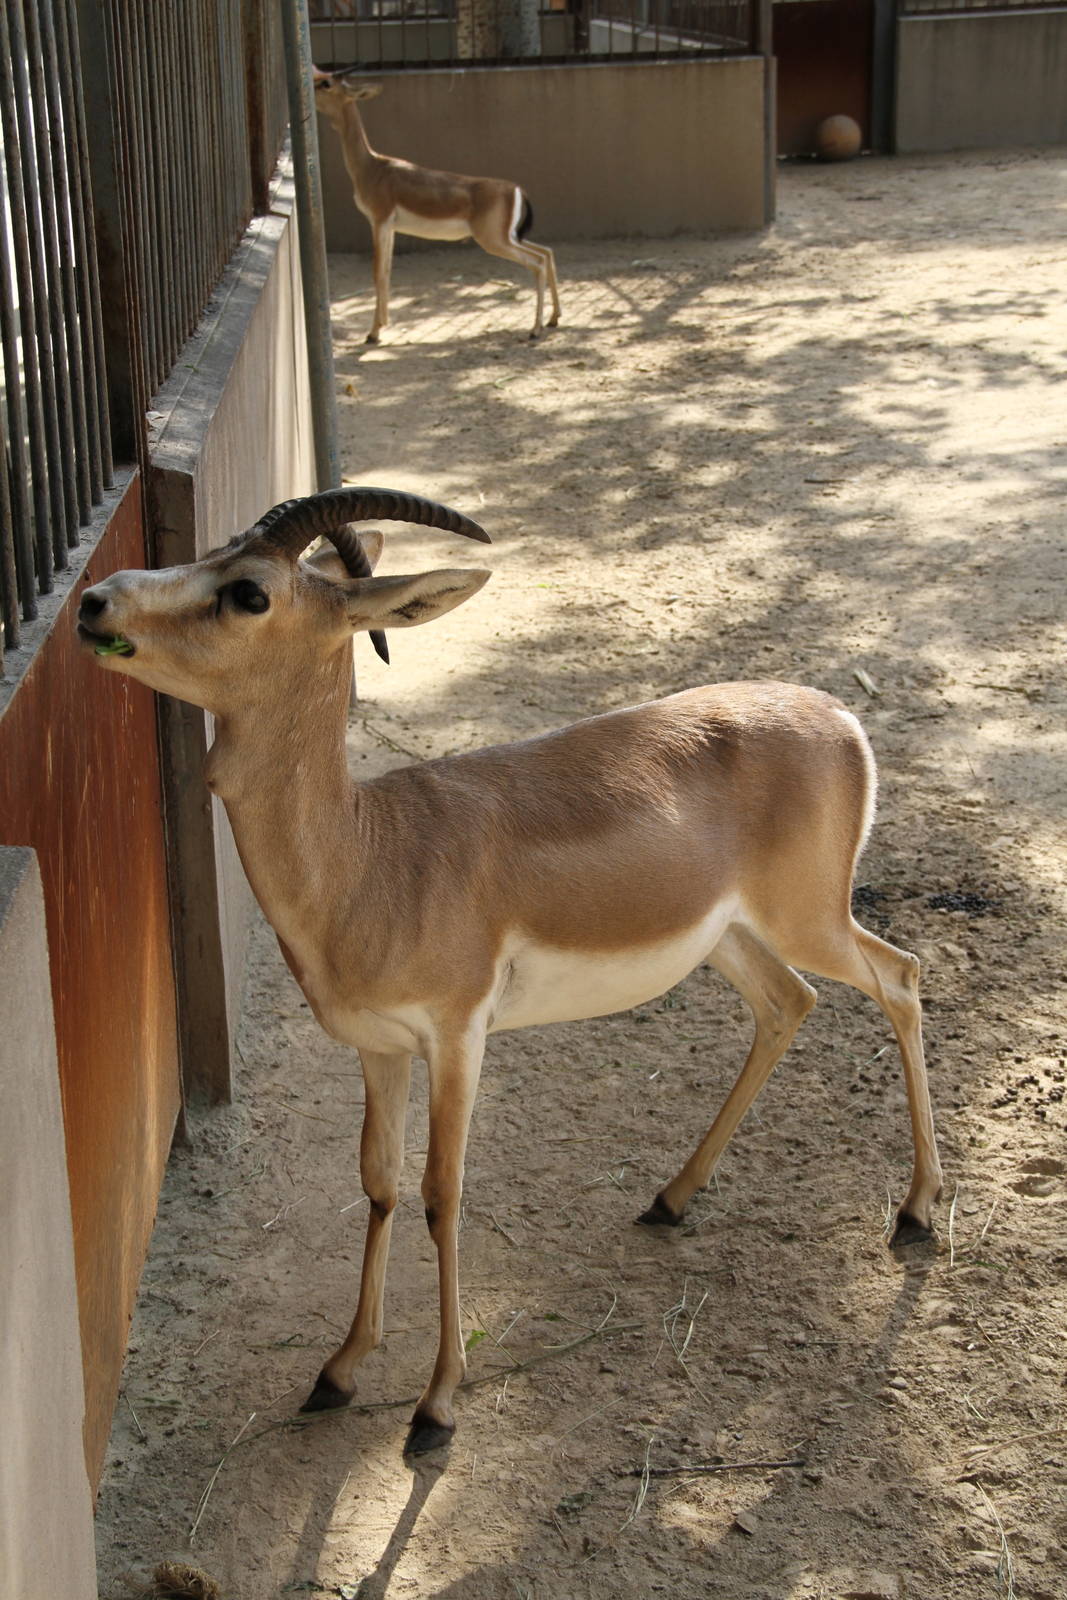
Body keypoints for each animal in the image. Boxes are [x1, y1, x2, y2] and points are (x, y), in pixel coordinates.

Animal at [78, 488, 942, 1457]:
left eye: (249, 591)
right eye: (211, 553)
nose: (96, 602)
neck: (371, 858)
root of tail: (840, 718)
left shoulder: (457, 1036)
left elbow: (440, 1192)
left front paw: (436, 1404)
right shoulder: (378, 1048)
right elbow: (377, 1181)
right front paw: (338, 1372)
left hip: (809, 920)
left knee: (900, 976)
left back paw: (915, 1213)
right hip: (729, 938)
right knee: (789, 1002)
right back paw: (670, 1198)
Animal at [313, 68, 561, 342]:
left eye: (326, 83)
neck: (373, 167)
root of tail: (516, 189)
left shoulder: (379, 221)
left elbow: (377, 273)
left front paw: (373, 333)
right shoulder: (389, 227)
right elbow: (386, 272)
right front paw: (382, 325)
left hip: (495, 241)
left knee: (537, 263)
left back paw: (535, 329)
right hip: (509, 237)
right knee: (547, 252)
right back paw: (553, 319)